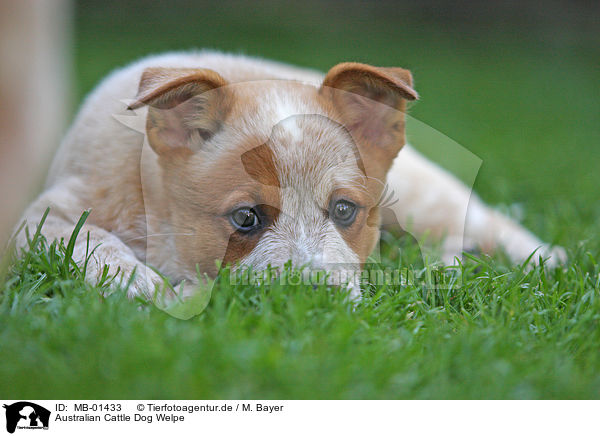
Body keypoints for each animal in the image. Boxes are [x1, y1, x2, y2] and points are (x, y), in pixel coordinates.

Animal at [16, 51, 564, 302]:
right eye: (245, 217)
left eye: (344, 209)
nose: (314, 297)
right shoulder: (44, 216)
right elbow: (95, 246)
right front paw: (147, 288)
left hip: (418, 196)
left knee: (484, 220)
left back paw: (542, 262)